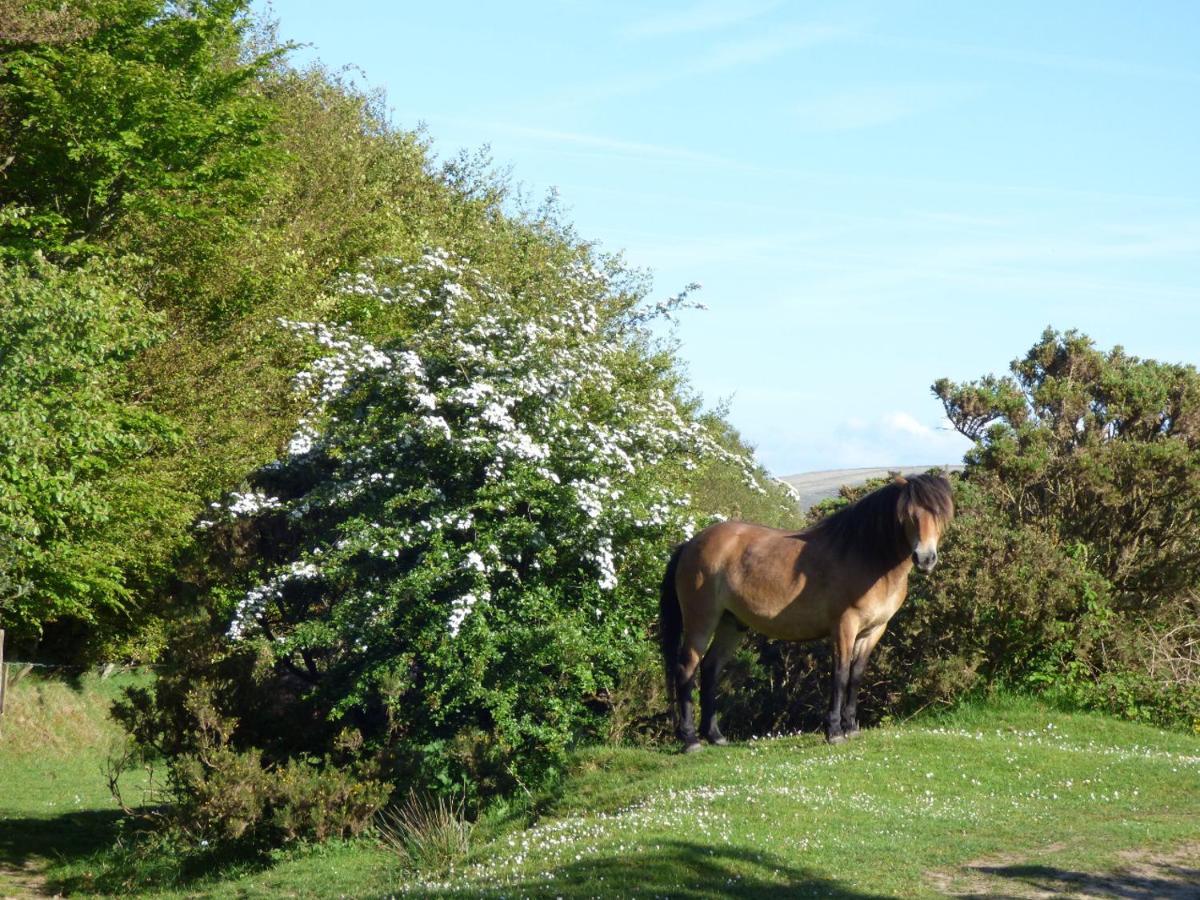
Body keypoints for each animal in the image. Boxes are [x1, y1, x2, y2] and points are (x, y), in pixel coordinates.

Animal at [662, 475, 950, 748]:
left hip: (731, 623)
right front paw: (834, 732)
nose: (925, 559)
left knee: (710, 668)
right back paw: (690, 740)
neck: (866, 556)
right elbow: (840, 674)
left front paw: (851, 728)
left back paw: (715, 736)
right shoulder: (844, 626)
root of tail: (690, 544)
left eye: (941, 514)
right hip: (701, 620)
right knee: (687, 669)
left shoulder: (874, 630)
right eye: (908, 513)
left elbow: (856, 675)